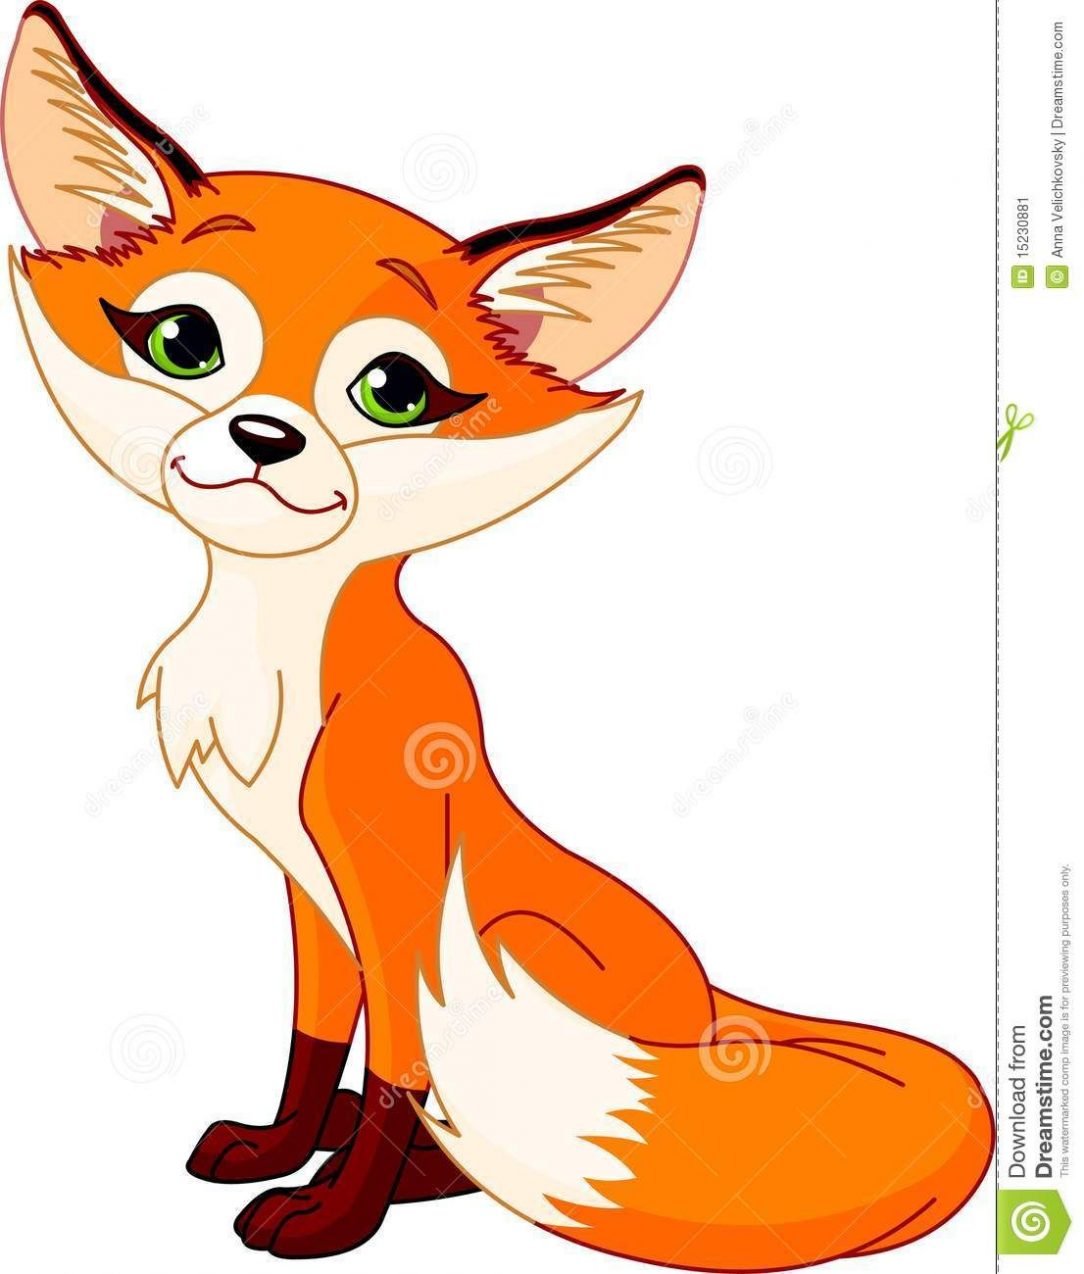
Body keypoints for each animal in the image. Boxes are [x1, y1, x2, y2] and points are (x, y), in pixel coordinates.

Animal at [3, 4, 992, 1268]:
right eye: (184, 341)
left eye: (392, 391)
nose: (267, 437)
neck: (279, 654)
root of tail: (718, 1004)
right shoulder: (311, 890)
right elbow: (314, 1041)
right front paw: (283, 1143)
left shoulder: (394, 881)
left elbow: (394, 1069)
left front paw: (337, 1212)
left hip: (518, 944)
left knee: (462, 1117)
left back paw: (416, 1172)